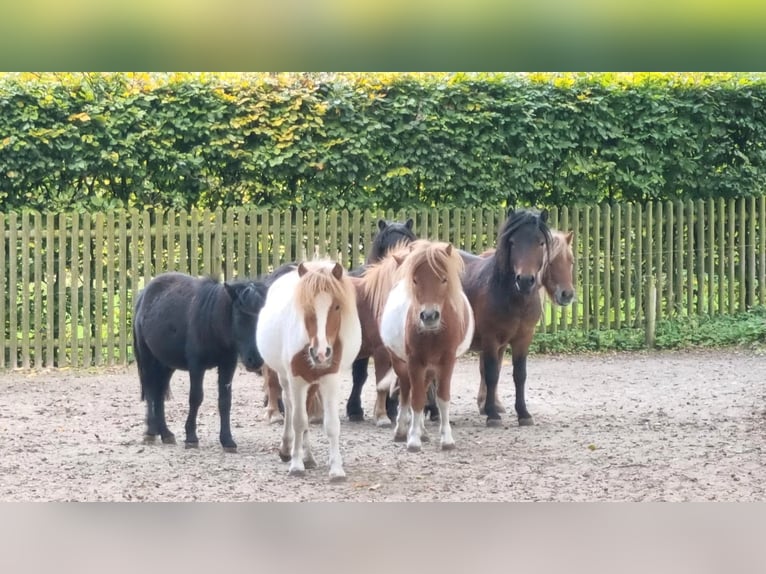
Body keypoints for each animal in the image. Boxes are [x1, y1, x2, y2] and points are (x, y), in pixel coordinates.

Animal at [134, 272, 270, 452]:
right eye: (241, 316)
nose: (255, 359)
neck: (212, 323)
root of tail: (143, 295)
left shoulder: (228, 365)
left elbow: (225, 401)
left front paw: (227, 440)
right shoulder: (196, 366)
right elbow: (196, 398)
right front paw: (191, 437)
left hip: (166, 364)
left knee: (159, 393)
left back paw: (165, 433)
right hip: (148, 358)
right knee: (150, 390)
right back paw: (150, 431)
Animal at [258, 260, 364, 482]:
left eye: (337, 306)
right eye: (306, 306)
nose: (321, 353)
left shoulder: (329, 380)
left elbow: (331, 425)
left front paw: (336, 469)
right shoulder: (297, 380)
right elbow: (299, 421)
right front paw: (296, 465)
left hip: (313, 383)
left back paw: (308, 456)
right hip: (285, 378)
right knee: (290, 406)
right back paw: (288, 449)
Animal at [380, 241, 474, 452]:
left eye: (444, 279)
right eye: (415, 280)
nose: (429, 316)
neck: (433, 333)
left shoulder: (447, 361)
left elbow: (442, 398)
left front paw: (446, 439)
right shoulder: (414, 362)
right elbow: (415, 400)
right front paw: (413, 440)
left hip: (430, 368)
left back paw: (422, 432)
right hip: (400, 363)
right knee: (407, 392)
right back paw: (402, 431)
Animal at [460, 207, 556, 428]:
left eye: (540, 242)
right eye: (512, 242)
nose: (526, 280)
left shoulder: (523, 338)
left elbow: (519, 375)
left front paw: (523, 413)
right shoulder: (490, 339)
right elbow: (491, 374)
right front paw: (492, 415)